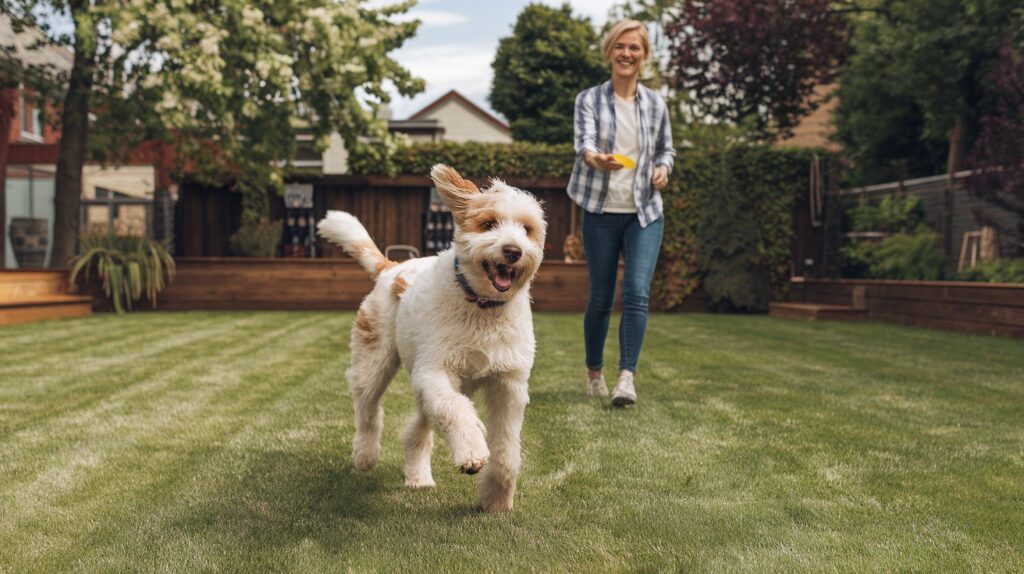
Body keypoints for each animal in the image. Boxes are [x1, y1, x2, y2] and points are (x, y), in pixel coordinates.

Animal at [317, 162, 544, 509]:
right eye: (489, 224)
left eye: (527, 229)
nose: (513, 251)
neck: (483, 308)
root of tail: (390, 267)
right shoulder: (434, 371)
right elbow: (457, 410)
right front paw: (472, 452)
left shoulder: (509, 385)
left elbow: (507, 450)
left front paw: (496, 498)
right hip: (374, 363)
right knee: (368, 412)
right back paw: (366, 457)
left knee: (416, 430)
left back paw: (418, 477)